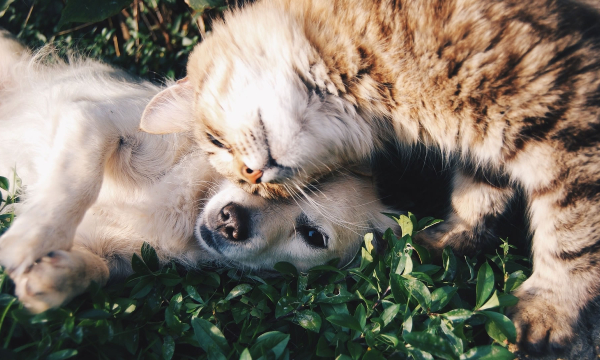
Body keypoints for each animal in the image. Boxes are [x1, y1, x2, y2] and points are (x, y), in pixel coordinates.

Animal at [0, 28, 396, 312]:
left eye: (313, 237)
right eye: (252, 171)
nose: (231, 221)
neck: (188, 205)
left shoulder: (121, 254)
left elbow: (98, 270)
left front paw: (56, 277)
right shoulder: (94, 119)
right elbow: (77, 182)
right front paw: (30, 239)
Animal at [138, 0, 600, 354]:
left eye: (216, 141)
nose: (253, 176)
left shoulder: (565, 121)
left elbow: (571, 237)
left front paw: (550, 311)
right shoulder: (488, 141)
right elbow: (478, 195)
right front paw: (448, 241)